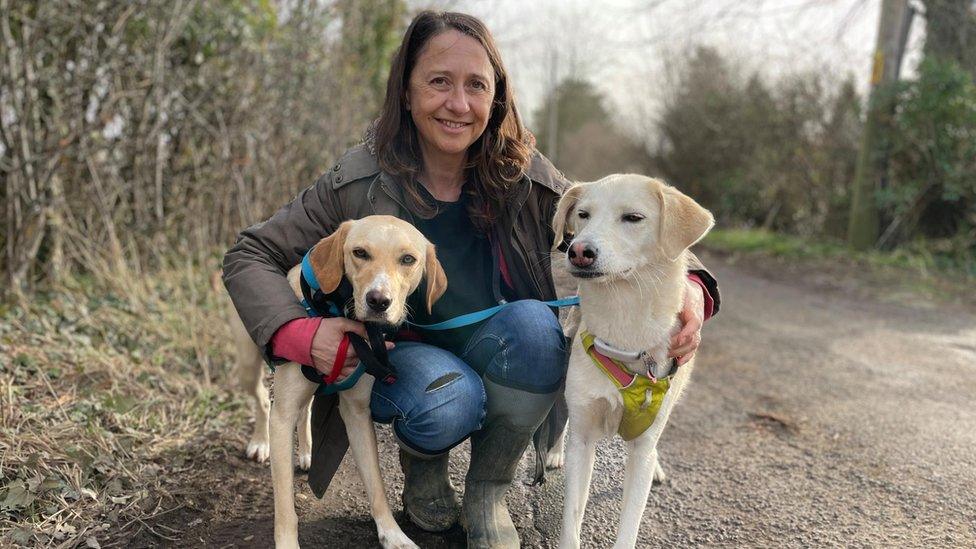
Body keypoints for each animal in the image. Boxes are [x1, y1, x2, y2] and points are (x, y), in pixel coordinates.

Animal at [225, 214, 446, 548]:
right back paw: (260, 443)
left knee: (305, 409)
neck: (334, 312)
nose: (378, 301)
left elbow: (377, 485)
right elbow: (285, 506)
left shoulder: (357, 411)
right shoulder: (282, 416)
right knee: (262, 400)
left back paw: (306, 452)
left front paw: (393, 533)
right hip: (249, 366)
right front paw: (287, 542)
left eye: (408, 259)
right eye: (360, 253)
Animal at [552, 176, 712, 548]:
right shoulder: (584, 435)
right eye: (583, 214)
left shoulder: (642, 449)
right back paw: (553, 452)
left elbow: (630, 524)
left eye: (633, 218)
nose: (577, 250)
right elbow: (571, 518)